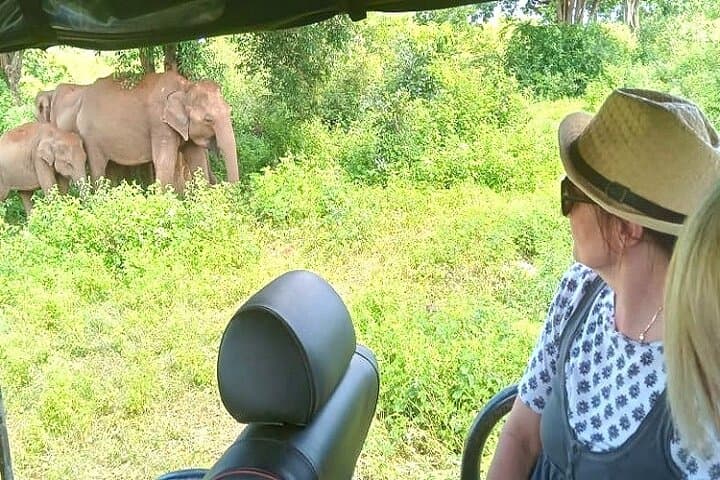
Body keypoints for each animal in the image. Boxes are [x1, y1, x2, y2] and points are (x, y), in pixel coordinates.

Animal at [74, 71, 238, 192]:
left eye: (230, 110)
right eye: (208, 119)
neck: (186, 87)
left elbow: (198, 161)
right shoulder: (160, 124)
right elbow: (164, 162)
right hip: (90, 137)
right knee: (98, 168)